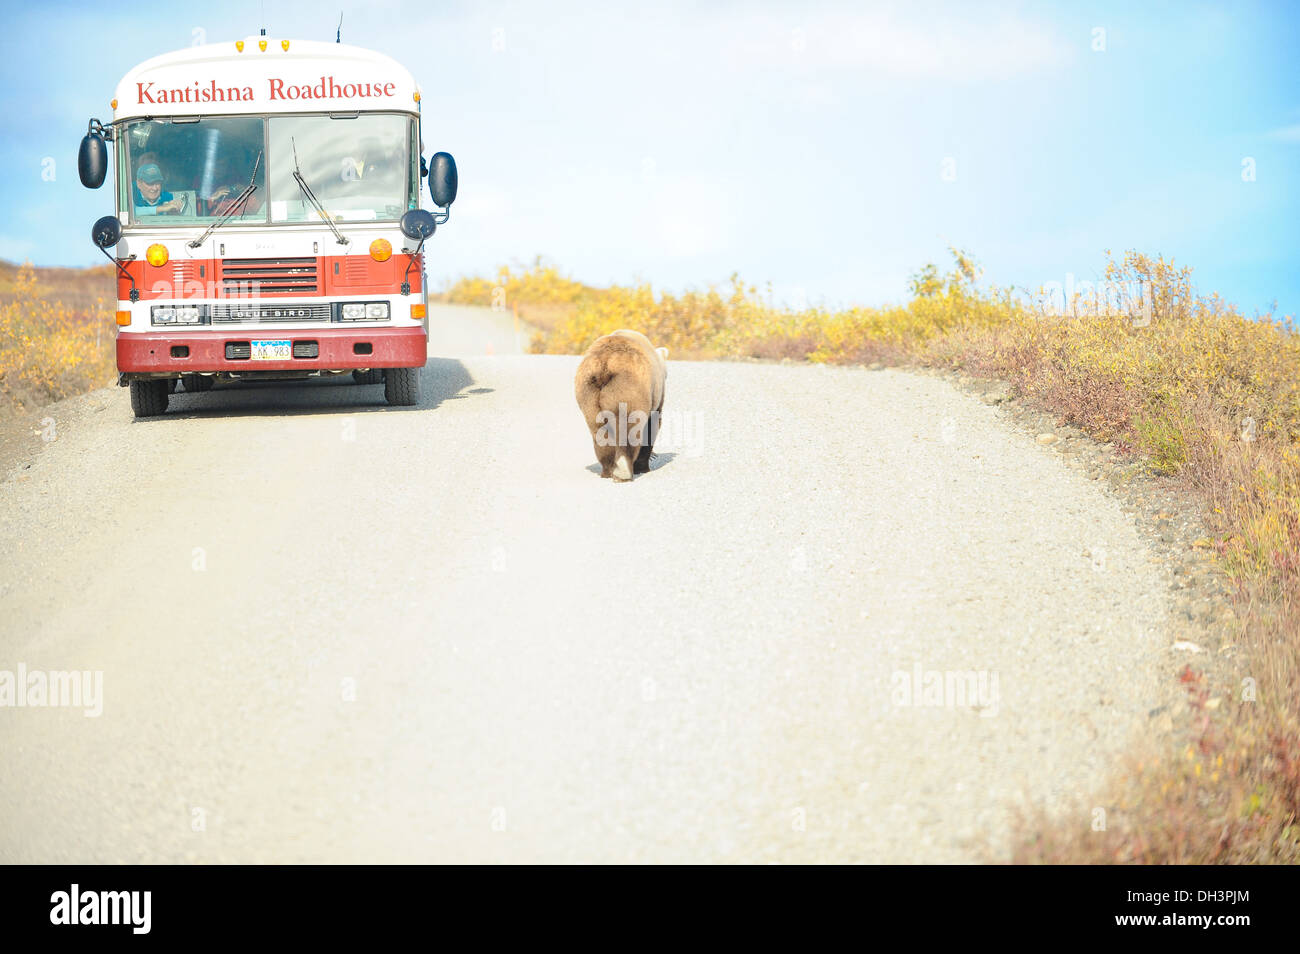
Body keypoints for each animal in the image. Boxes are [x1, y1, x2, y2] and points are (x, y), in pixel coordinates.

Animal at [577, 330, 670, 480]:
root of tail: (605, 363)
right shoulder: (654, 396)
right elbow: (652, 425)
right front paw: (644, 465)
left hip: (588, 393)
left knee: (599, 430)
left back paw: (608, 471)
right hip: (627, 389)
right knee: (628, 428)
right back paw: (623, 472)